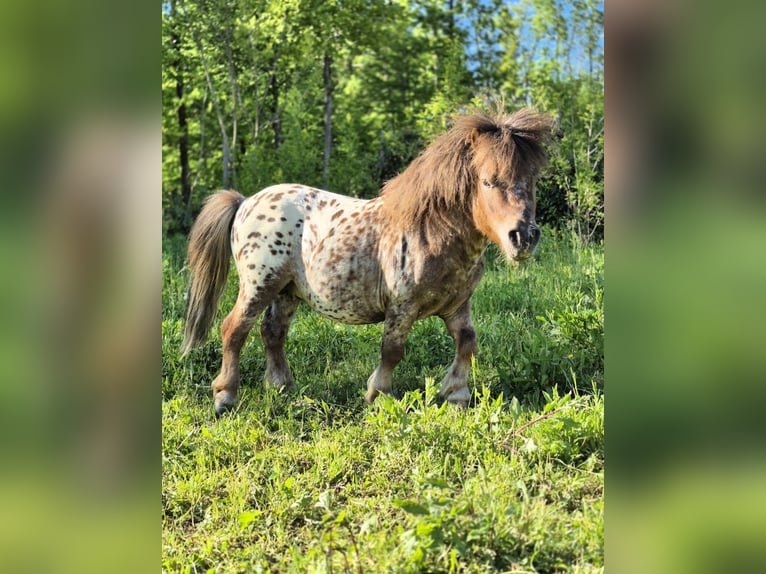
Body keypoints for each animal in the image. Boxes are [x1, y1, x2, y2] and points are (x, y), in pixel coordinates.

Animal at [181, 109, 557, 416]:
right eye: (488, 180)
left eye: (533, 181)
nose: (524, 236)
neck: (432, 230)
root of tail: (245, 201)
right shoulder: (402, 306)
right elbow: (392, 350)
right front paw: (379, 396)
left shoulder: (456, 305)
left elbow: (467, 343)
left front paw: (456, 395)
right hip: (260, 284)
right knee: (234, 329)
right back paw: (225, 397)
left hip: (287, 292)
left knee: (272, 333)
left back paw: (283, 388)